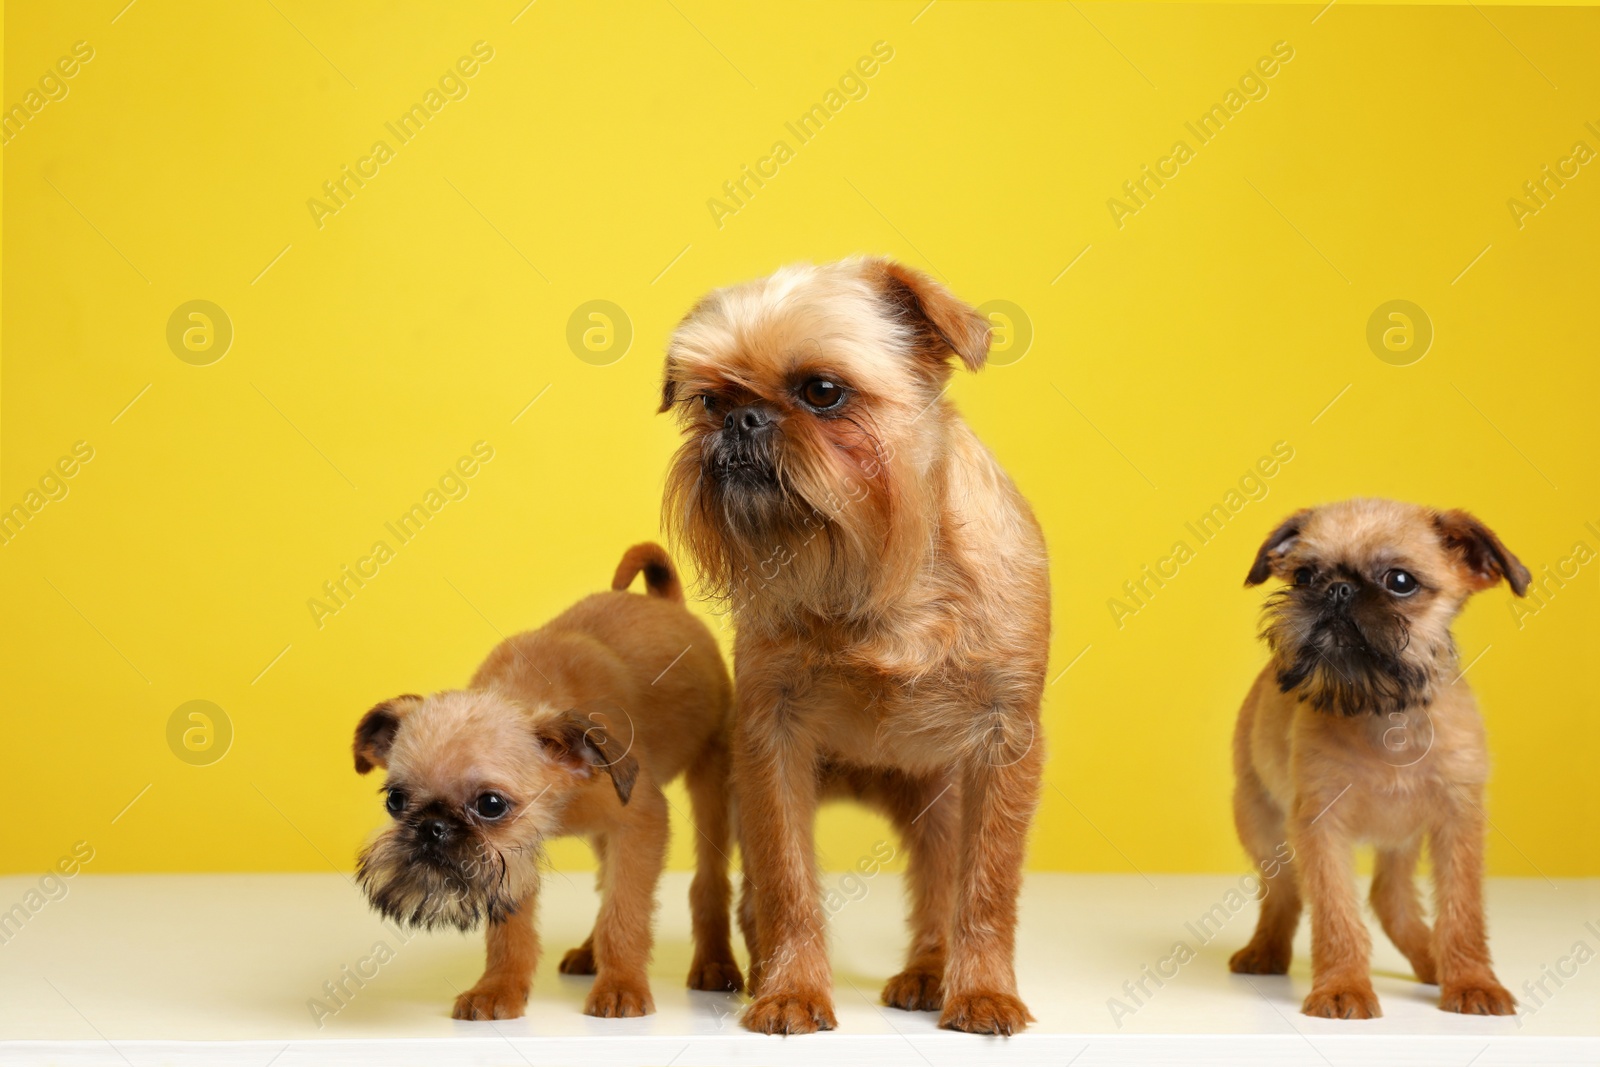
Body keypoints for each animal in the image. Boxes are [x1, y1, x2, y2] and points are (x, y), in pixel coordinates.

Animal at [350, 547, 736, 1023]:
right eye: (396, 800)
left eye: (491, 804)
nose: (431, 827)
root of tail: (666, 602)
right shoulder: (513, 858)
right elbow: (512, 930)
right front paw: (498, 987)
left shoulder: (640, 826)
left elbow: (624, 911)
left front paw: (622, 984)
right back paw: (589, 953)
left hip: (711, 782)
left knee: (707, 880)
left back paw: (715, 963)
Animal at [659, 255, 1049, 1036]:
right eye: (710, 401)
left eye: (823, 392)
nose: (743, 418)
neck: (880, 577)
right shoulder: (770, 745)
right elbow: (787, 882)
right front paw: (791, 990)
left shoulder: (1005, 740)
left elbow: (986, 887)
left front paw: (984, 991)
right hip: (729, 792)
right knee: (727, 888)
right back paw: (732, 970)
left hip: (939, 800)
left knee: (938, 888)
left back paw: (930, 972)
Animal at [1228, 502, 1529, 1017]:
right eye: (1304, 576)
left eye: (1400, 581)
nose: (1337, 588)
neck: (1383, 711)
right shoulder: (1320, 825)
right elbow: (1335, 913)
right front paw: (1342, 986)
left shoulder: (1458, 821)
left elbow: (1463, 910)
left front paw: (1472, 981)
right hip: (1259, 820)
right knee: (1284, 892)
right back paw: (1265, 949)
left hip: (1401, 838)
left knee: (1390, 898)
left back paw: (1431, 961)